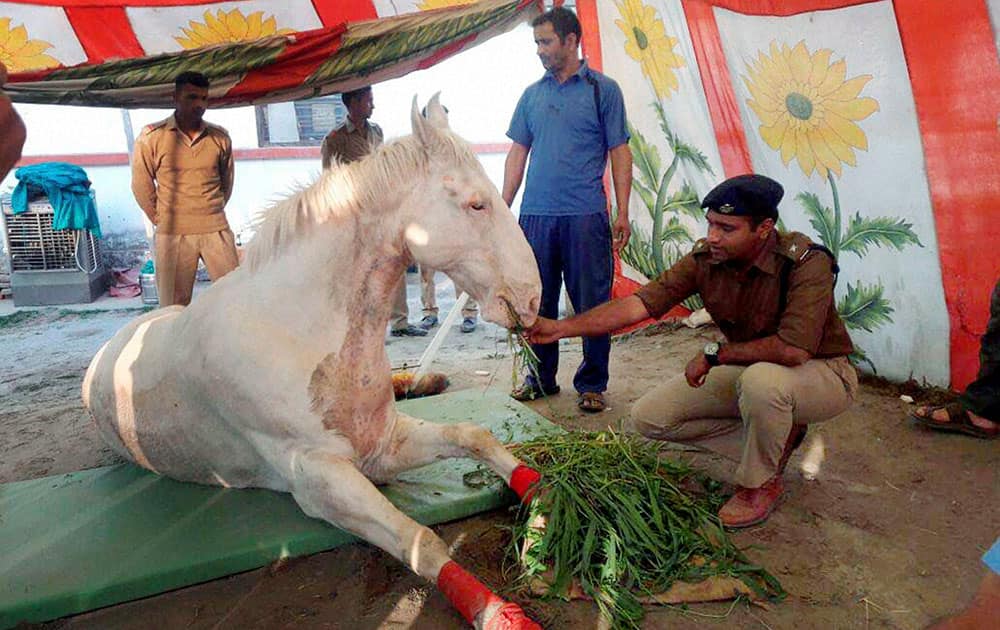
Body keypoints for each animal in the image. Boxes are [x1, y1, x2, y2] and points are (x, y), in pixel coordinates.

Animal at [82, 96, 544, 628]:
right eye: (475, 203)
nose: (533, 300)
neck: (297, 331)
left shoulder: (381, 445)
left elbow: (475, 437)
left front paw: (550, 513)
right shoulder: (321, 478)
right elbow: (421, 542)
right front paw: (503, 613)